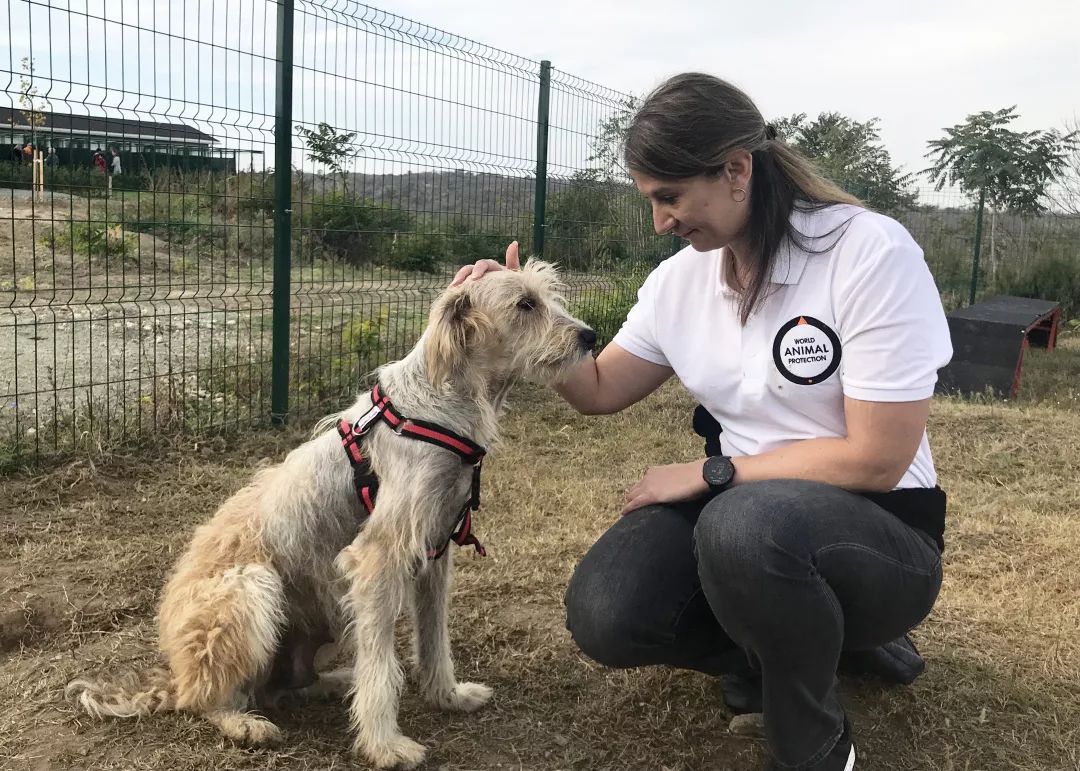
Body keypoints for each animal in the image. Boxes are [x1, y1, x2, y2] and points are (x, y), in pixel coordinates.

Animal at [65, 261, 600, 764]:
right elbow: (382, 668)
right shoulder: (377, 561)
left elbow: (434, 641)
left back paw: (337, 681)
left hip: (326, 612)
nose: (590, 337)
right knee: (211, 697)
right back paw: (243, 723)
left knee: (283, 686)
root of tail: (176, 673)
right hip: (253, 589)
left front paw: (447, 696)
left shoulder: (434, 554)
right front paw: (385, 745)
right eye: (525, 304)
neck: (441, 405)